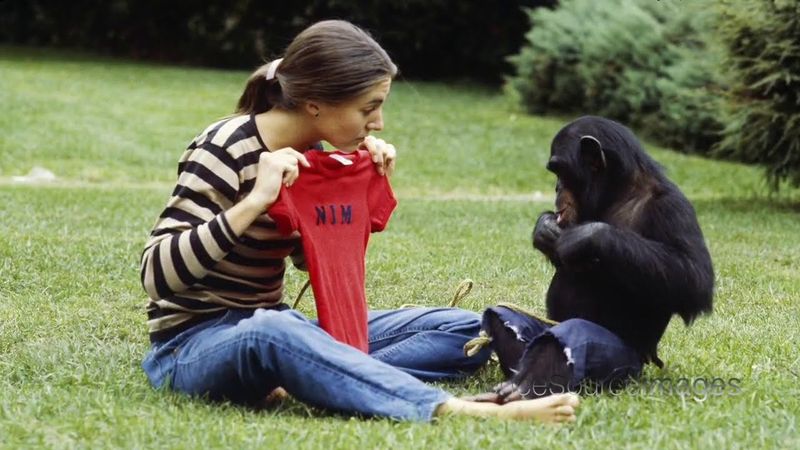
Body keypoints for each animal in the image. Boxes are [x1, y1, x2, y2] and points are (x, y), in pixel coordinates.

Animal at [476, 115, 712, 400]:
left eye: (560, 170)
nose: (556, 187)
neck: (619, 192)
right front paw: (544, 228)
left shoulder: (671, 207)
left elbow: (693, 277)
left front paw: (587, 236)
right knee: (504, 317)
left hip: (624, 363)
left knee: (574, 335)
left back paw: (528, 384)